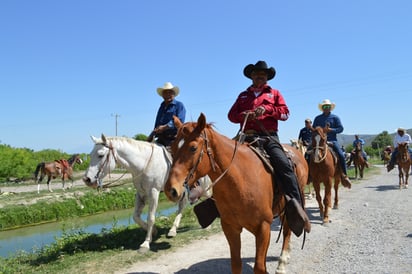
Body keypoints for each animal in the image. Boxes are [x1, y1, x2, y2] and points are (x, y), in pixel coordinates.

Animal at [83, 134, 212, 252]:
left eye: (100, 155)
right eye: (90, 154)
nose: (87, 179)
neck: (143, 164)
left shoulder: (153, 192)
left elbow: (150, 217)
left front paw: (145, 243)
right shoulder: (141, 193)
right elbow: (136, 217)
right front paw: (154, 231)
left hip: (205, 187)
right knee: (182, 206)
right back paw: (172, 230)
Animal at [163, 113, 308, 274]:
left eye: (193, 148)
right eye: (172, 148)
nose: (171, 190)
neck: (240, 181)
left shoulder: (264, 227)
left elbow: (259, 267)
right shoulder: (230, 227)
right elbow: (236, 264)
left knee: (288, 229)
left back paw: (282, 263)